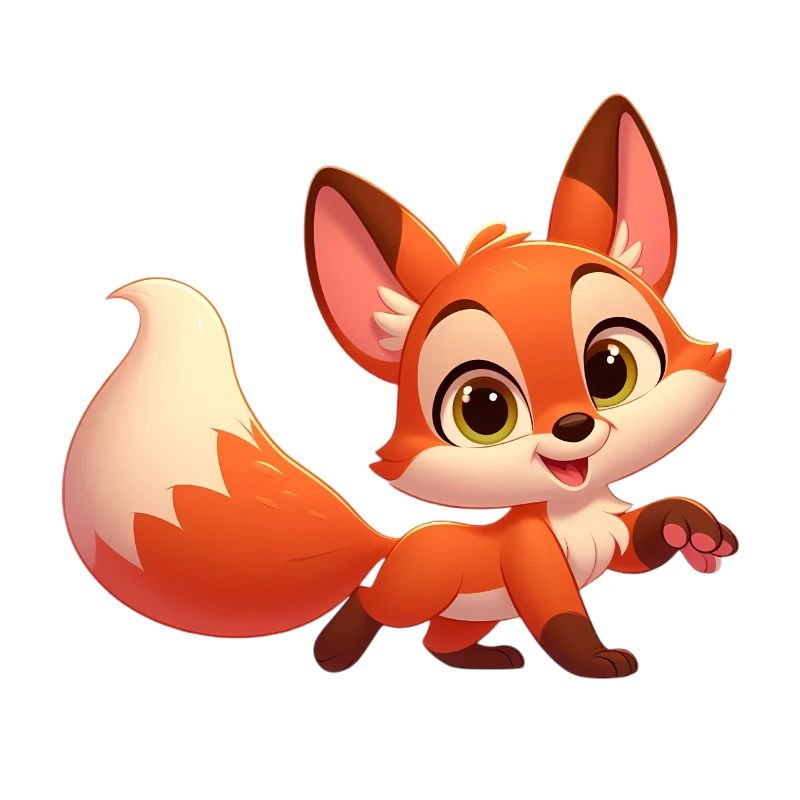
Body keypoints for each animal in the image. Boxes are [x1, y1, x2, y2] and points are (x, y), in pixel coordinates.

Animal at [63, 95, 737, 678]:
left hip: (464, 614)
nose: (575, 427)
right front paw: (596, 661)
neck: (574, 512)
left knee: (439, 641)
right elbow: (560, 619)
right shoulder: (533, 562)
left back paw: (483, 659)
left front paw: (693, 528)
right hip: (415, 588)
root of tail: (394, 541)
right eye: (484, 410)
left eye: (610, 370)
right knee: (373, 601)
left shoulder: (614, 534)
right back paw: (335, 651)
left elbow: (643, 542)